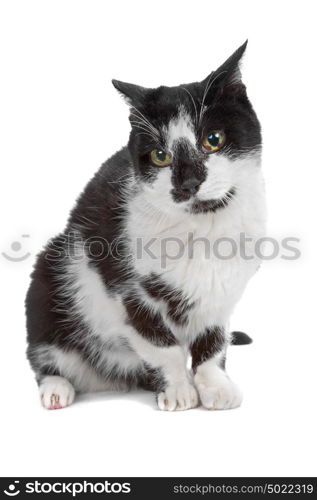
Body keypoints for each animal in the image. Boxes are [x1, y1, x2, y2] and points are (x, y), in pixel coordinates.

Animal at [25, 42, 266, 410]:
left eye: (213, 139)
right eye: (159, 156)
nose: (188, 182)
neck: (201, 227)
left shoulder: (224, 287)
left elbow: (213, 340)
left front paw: (215, 387)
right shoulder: (124, 285)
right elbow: (159, 343)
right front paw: (179, 390)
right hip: (49, 277)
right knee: (46, 354)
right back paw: (57, 388)